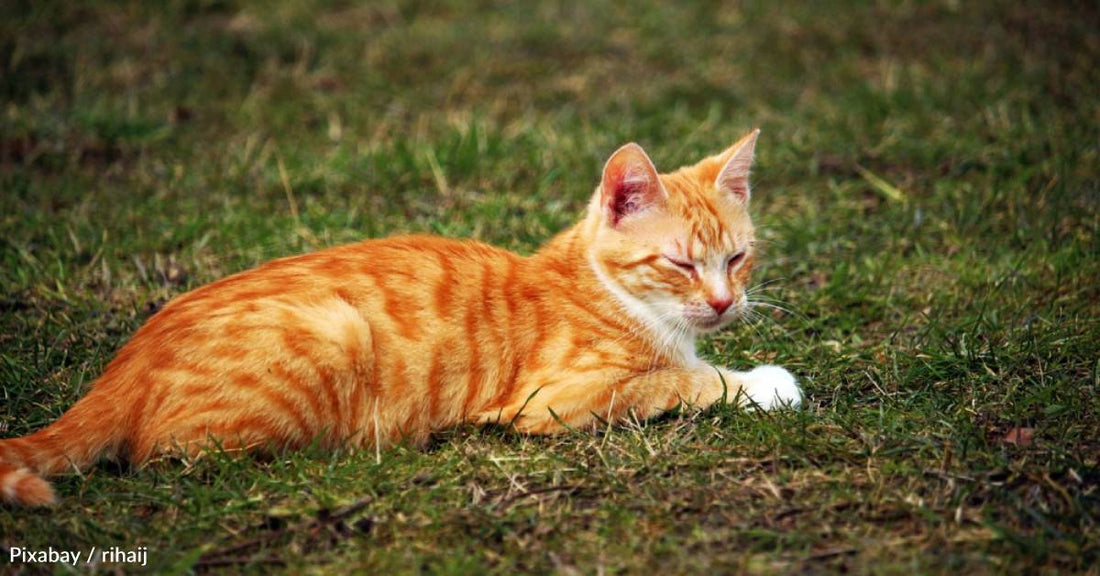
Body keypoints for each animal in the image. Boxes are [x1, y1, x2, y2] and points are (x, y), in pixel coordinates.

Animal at [4, 129, 805, 503]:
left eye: (737, 258)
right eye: (680, 263)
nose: (724, 302)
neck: (610, 292)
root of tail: (127, 359)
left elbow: (685, 370)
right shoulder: (556, 400)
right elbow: (681, 381)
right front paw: (761, 383)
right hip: (334, 334)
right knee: (178, 453)